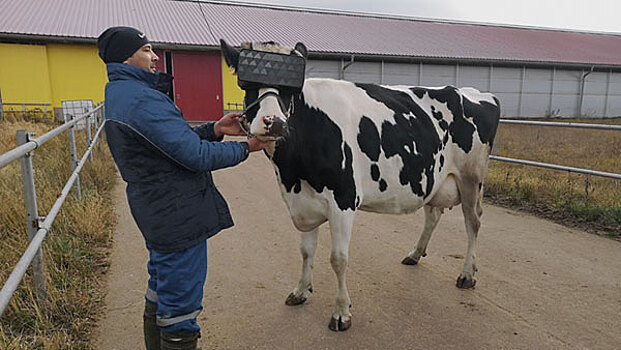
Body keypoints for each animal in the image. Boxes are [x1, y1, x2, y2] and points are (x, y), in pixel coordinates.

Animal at [220, 39, 502, 332]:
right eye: (246, 85)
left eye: (291, 90)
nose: (273, 122)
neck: (292, 174)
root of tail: (476, 93)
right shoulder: (303, 202)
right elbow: (306, 251)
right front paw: (300, 291)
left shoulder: (343, 200)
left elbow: (338, 259)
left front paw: (341, 312)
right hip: (433, 177)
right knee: (433, 214)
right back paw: (415, 254)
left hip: (471, 178)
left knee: (473, 222)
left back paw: (467, 274)